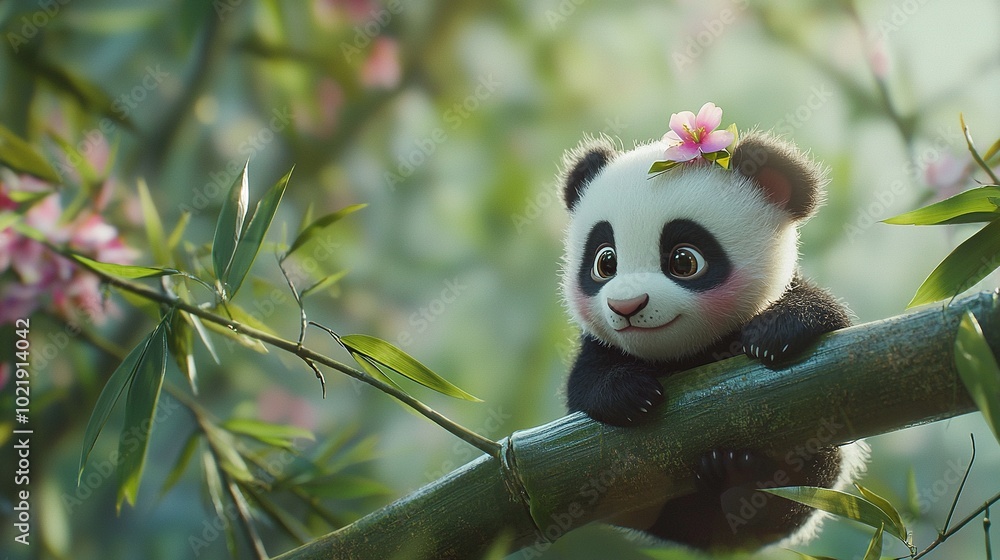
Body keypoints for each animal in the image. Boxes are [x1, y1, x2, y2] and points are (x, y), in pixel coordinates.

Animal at [558, 125, 865, 551]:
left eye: (684, 261)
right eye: (605, 262)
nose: (627, 306)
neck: (684, 355)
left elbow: (826, 315)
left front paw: (773, 334)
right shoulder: (596, 348)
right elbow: (583, 385)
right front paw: (631, 393)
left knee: (805, 482)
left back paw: (741, 484)